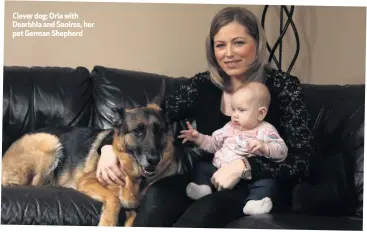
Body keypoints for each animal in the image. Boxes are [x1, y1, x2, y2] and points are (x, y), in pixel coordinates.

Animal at [1, 103, 180, 227]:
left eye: (159, 130)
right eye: (138, 131)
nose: (154, 159)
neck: (133, 178)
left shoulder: (133, 207)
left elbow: (133, 217)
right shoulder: (88, 181)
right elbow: (114, 199)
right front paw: (107, 223)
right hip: (50, 142)